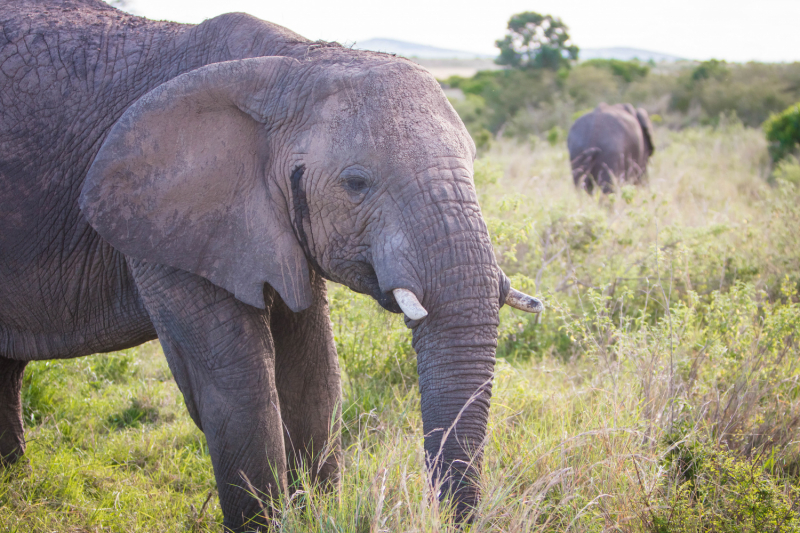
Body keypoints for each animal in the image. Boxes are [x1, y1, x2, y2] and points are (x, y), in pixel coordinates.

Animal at [0, 0, 544, 528]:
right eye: (355, 183)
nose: (452, 517)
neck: (294, 63)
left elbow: (315, 372)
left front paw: (318, 514)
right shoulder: (172, 215)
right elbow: (240, 383)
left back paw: (14, 481)